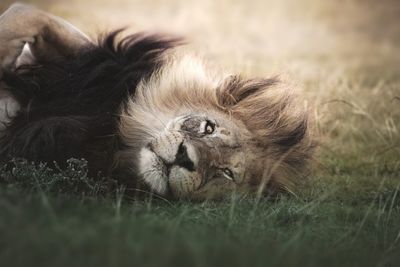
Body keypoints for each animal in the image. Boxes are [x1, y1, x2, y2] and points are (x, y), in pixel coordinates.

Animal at [0, 3, 314, 201]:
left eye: (225, 173)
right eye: (208, 128)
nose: (185, 158)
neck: (113, 136)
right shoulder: (108, 62)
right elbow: (23, 14)